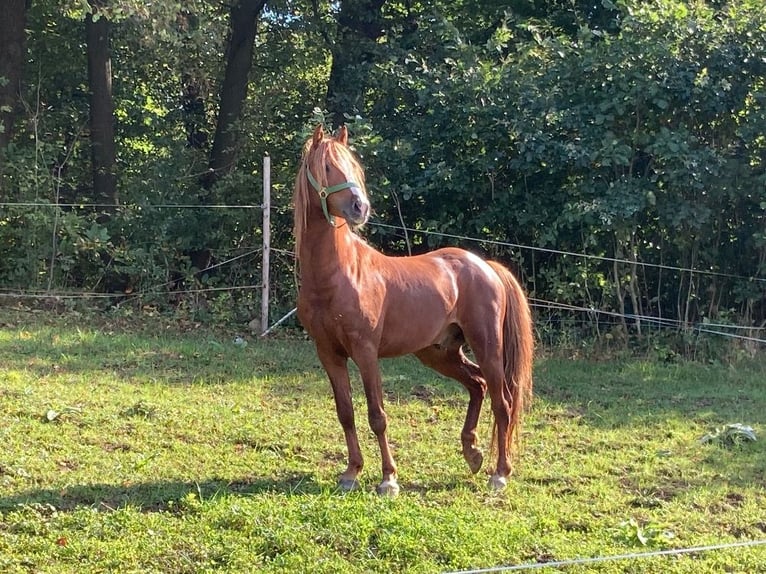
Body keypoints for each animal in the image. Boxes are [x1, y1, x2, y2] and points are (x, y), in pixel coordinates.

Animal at [294, 125, 536, 496]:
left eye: (353, 167)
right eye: (327, 168)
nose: (360, 207)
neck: (337, 275)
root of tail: (486, 266)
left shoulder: (366, 352)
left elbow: (377, 415)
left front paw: (388, 479)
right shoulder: (329, 354)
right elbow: (345, 412)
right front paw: (351, 472)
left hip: (488, 347)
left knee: (503, 401)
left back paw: (499, 473)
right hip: (438, 352)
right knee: (477, 385)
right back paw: (472, 453)